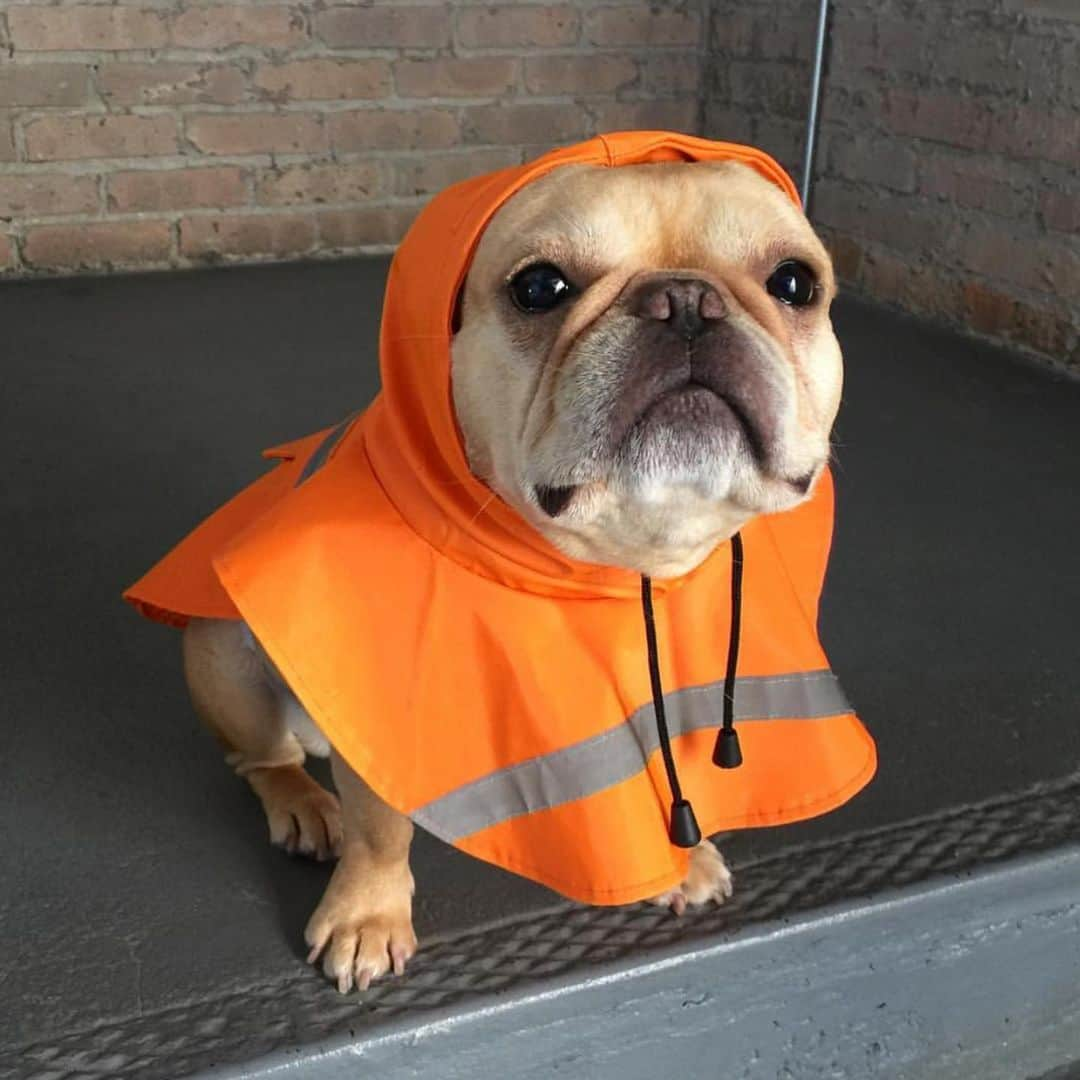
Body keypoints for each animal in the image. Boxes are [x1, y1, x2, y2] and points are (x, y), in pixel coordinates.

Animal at [183, 159, 842, 993]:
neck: (613, 556)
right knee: (262, 759)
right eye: (539, 287)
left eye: (795, 282)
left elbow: (670, 778)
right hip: (221, 656)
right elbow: (378, 829)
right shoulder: (381, 705)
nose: (686, 300)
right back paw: (302, 803)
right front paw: (368, 915)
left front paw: (683, 862)